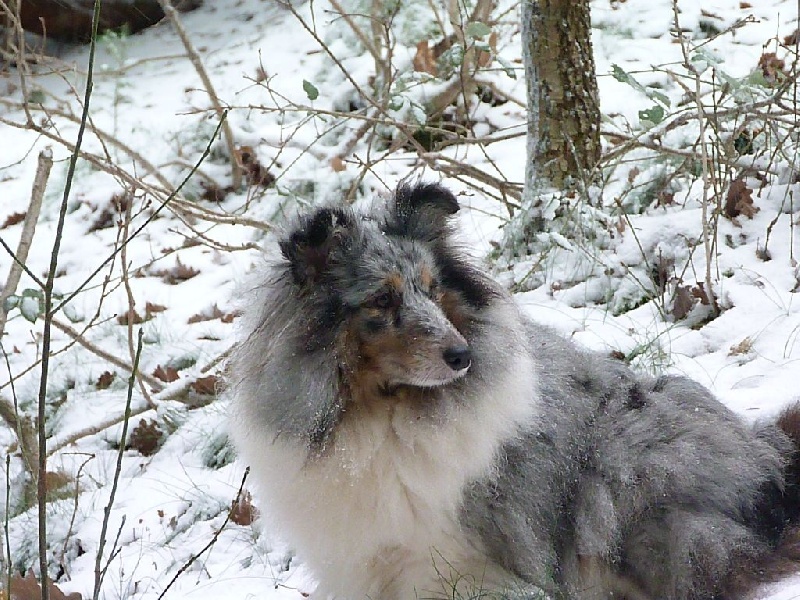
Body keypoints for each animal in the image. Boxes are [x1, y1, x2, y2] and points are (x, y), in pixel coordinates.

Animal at [228, 183, 800, 600]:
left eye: (434, 289)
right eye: (382, 300)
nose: (463, 357)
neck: (386, 418)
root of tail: (768, 458)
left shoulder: (458, 567)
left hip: (627, 467)